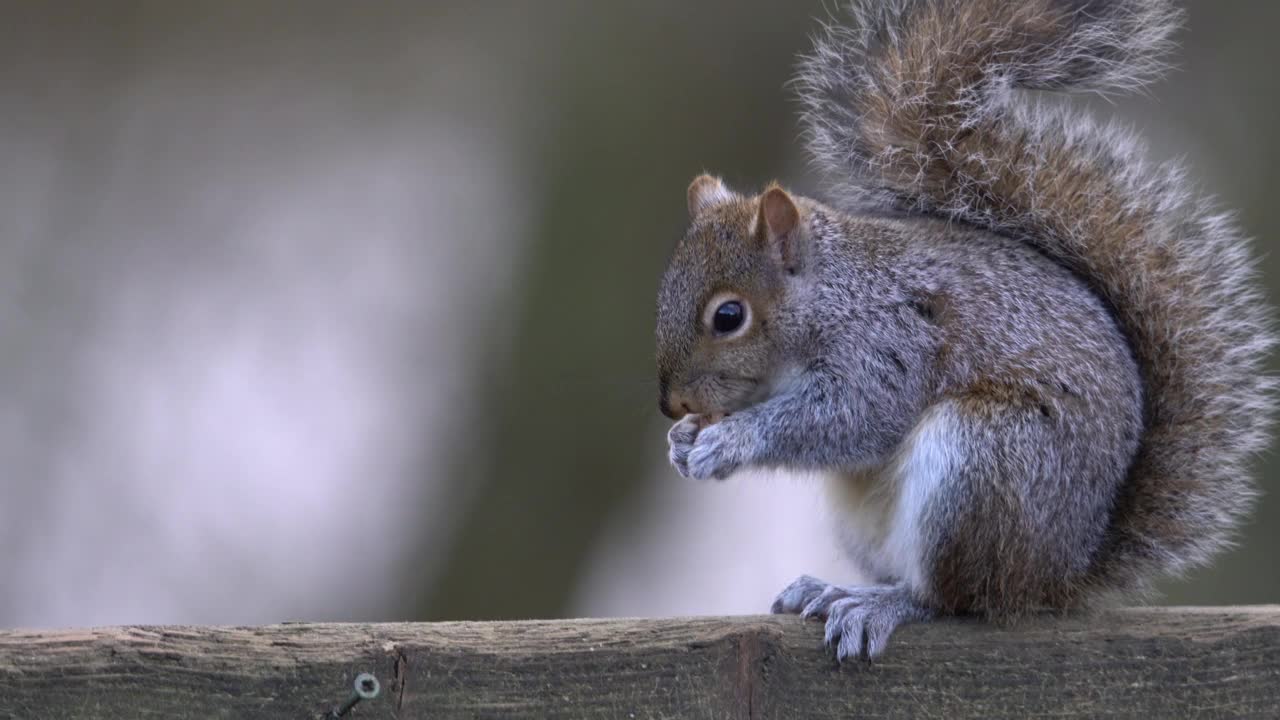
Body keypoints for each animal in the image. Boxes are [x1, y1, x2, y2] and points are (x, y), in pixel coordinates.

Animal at [655, 0, 1274, 661]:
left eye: (729, 317)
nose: (671, 405)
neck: (831, 294)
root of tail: (1056, 575)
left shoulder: (889, 343)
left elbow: (852, 417)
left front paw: (728, 441)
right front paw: (684, 442)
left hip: (984, 462)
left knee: (955, 599)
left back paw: (882, 605)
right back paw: (829, 588)